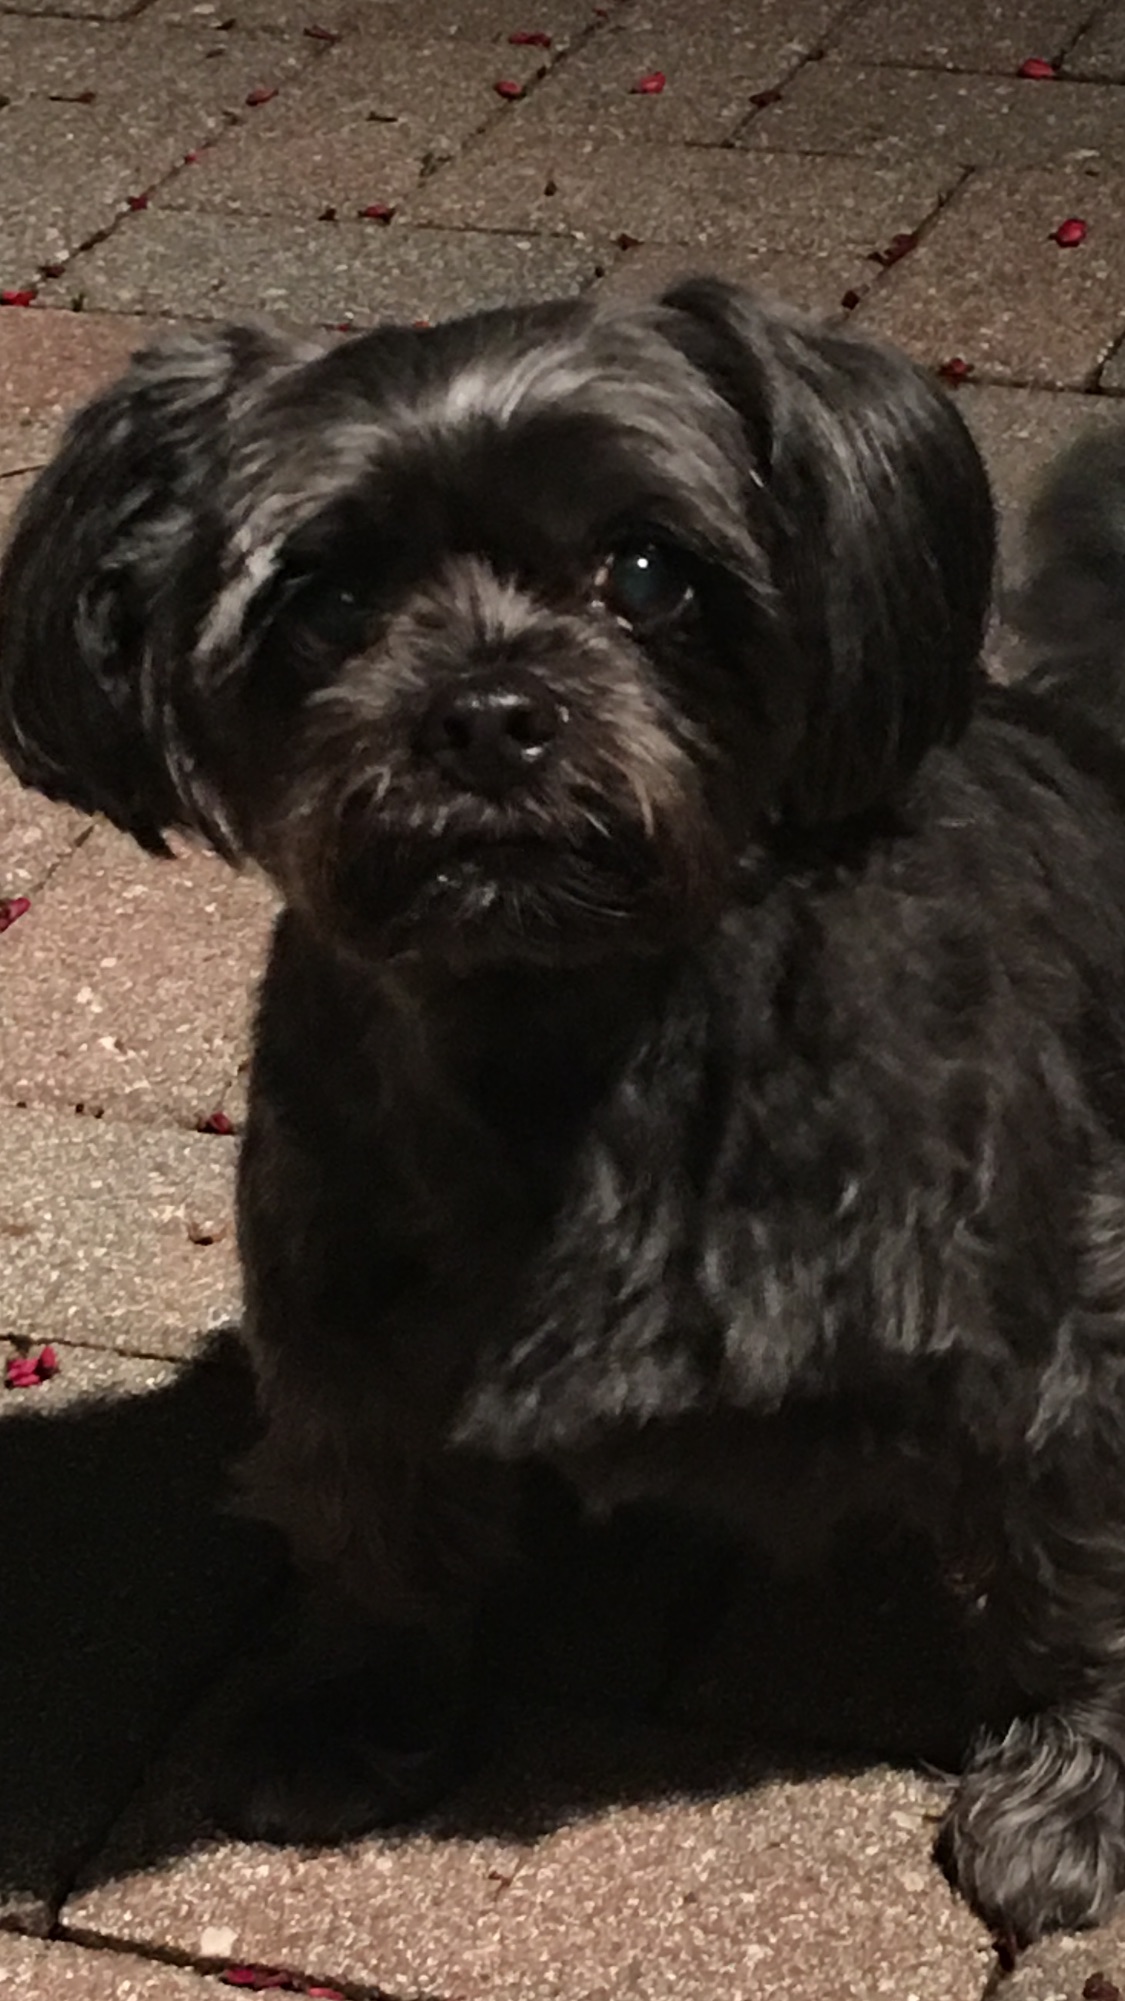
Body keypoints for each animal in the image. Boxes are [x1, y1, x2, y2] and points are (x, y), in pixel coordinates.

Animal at [2, 274, 1120, 1944]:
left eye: (646, 570)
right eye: (325, 601)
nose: (485, 713)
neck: (565, 1028)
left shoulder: (1056, 1321)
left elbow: (1067, 1565)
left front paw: (1072, 1785)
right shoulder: (346, 1321)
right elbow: (375, 1515)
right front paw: (359, 1702)